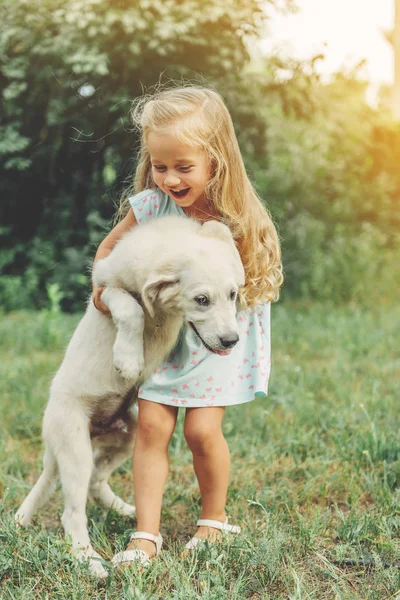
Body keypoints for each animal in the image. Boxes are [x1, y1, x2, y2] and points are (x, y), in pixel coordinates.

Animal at [16, 216, 244, 576]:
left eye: (232, 294)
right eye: (202, 300)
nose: (231, 340)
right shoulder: (104, 281)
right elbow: (130, 307)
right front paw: (129, 359)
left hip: (127, 435)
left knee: (96, 481)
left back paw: (124, 510)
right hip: (75, 446)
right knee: (72, 512)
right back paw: (90, 561)